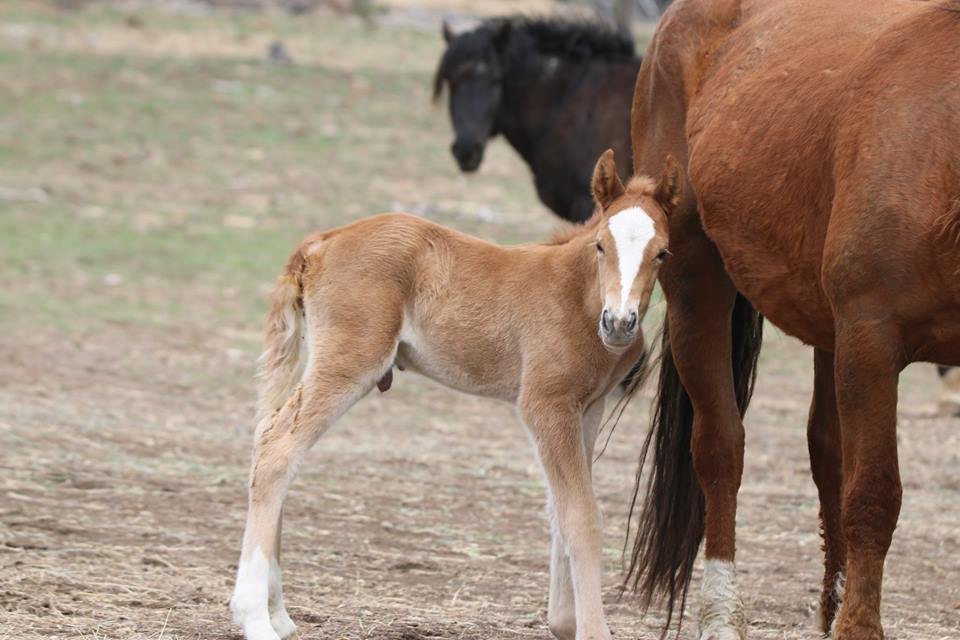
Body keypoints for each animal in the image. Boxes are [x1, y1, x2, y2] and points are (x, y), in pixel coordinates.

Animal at [231, 151, 684, 640]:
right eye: (601, 245)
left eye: (662, 253)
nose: (619, 323)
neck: (576, 297)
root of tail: (322, 242)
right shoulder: (546, 405)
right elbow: (581, 517)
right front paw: (591, 629)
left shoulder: (587, 408)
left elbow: (559, 510)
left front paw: (564, 621)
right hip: (352, 361)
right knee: (277, 449)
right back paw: (255, 617)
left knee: (268, 439)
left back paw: (278, 612)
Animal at [624, 1, 960, 640]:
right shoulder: (870, 339)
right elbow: (873, 495)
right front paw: (859, 628)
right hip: (698, 285)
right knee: (721, 447)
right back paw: (722, 613)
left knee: (827, 455)